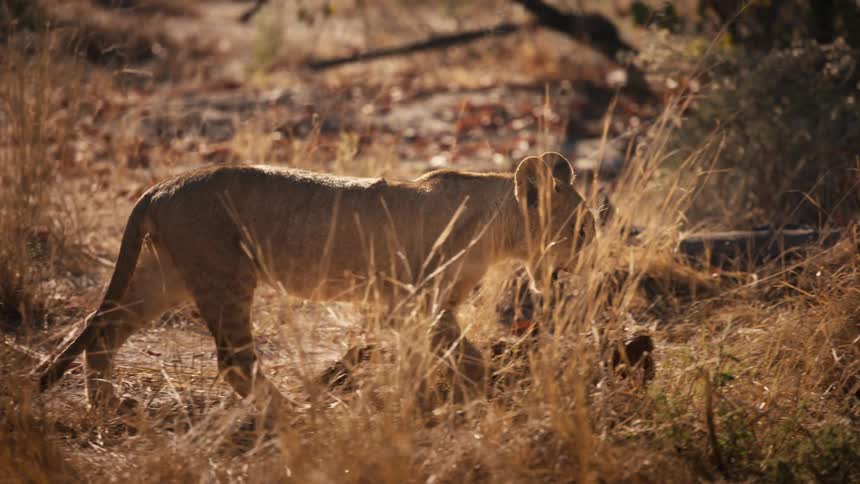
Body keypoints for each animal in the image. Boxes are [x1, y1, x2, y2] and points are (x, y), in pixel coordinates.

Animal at [38, 152, 596, 415]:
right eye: (580, 226)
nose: (593, 246)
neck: (496, 226)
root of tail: (158, 186)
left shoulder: (424, 309)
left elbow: (426, 355)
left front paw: (424, 396)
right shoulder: (414, 300)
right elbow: (466, 355)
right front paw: (482, 391)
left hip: (168, 275)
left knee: (103, 327)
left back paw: (109, 406)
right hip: (225, 273)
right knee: (234, 360)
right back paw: (297, 412)